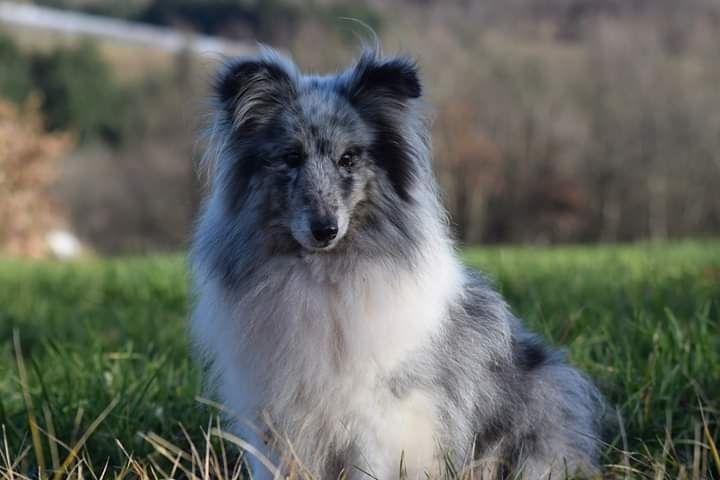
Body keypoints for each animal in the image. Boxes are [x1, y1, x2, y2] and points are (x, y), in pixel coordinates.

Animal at [190, 46, 600, 480]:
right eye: (290, 157)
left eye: (349, 159)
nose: (325, 229)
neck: (324, 276)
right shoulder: (273, 422)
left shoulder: (377, 418)